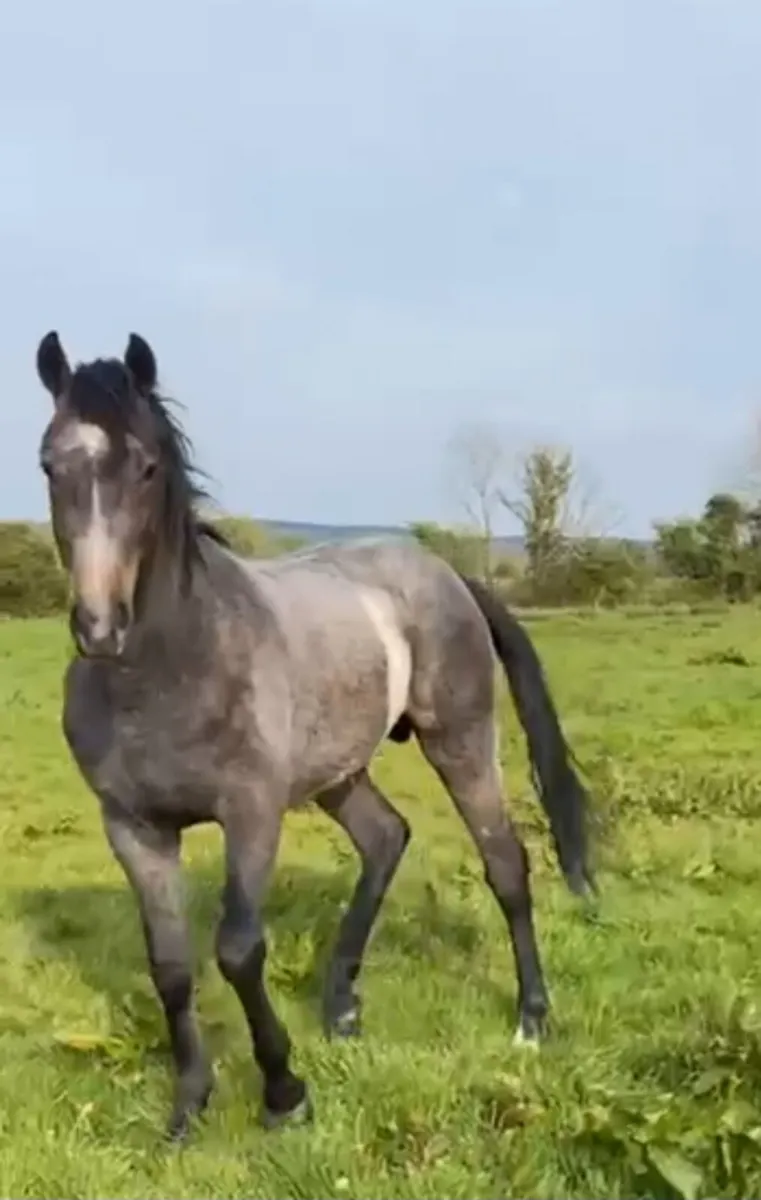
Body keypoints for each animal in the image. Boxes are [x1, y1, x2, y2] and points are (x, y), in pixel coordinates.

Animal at [34, 329, 595, 1141]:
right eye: (51, 465)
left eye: (145, 467)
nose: (100, 628)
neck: (171, 669)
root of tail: (446, 575)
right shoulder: (134, 828)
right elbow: (170, 965)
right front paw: (189, 1105)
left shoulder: (252, 812)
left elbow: (237, 950)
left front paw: (283, 1093)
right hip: (339, 772)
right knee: (386, 838)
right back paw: (342, 1008)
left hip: (460, 741)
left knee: (505, 864)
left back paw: (529, 1020)